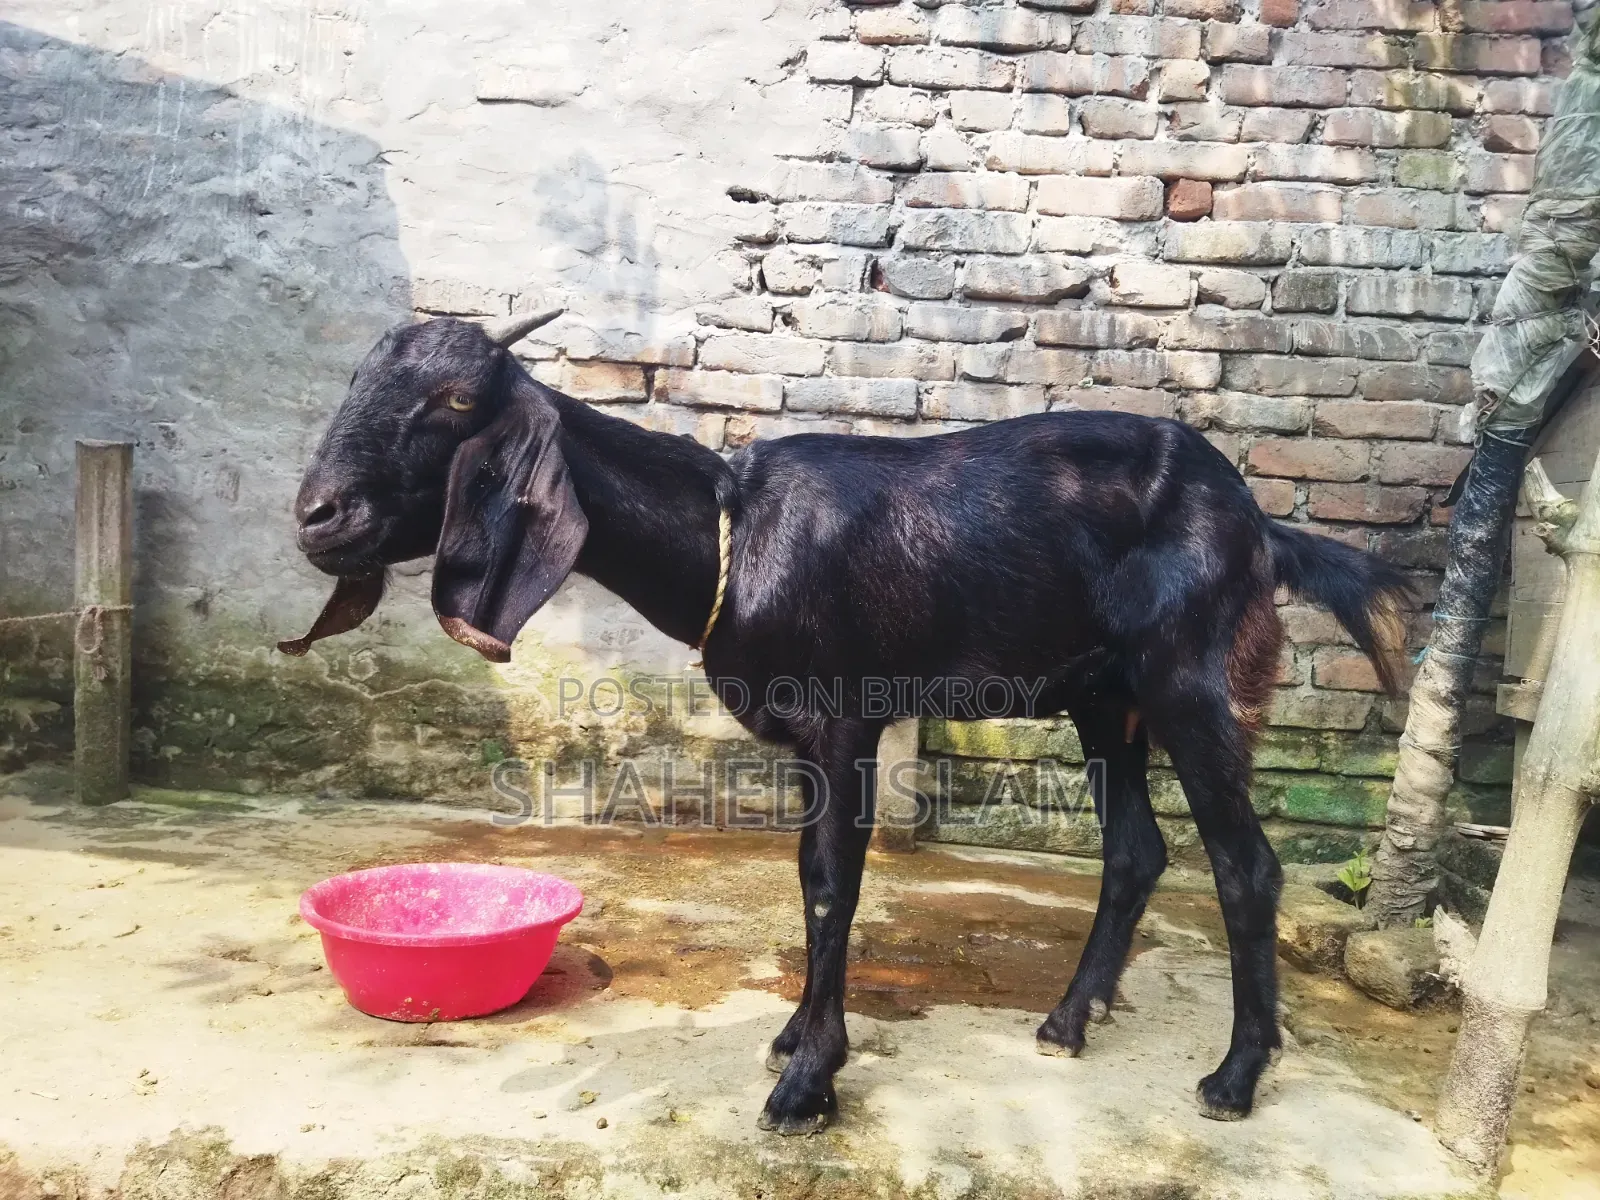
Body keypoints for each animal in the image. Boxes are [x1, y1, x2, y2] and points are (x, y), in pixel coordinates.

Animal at [283, 315, 1412, 1133]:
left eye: (452, 403)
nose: (318, 514)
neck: (733, 534)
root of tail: (1258, 523)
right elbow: (806, 879)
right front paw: (793, 1038)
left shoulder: (844, 723)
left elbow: (832, 885)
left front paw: (805, 1083)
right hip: (1103, 699)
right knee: (1136, 849)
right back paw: (1065, 1020)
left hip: (1191, 680)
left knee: (1244, 865)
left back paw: (1235, 1076)